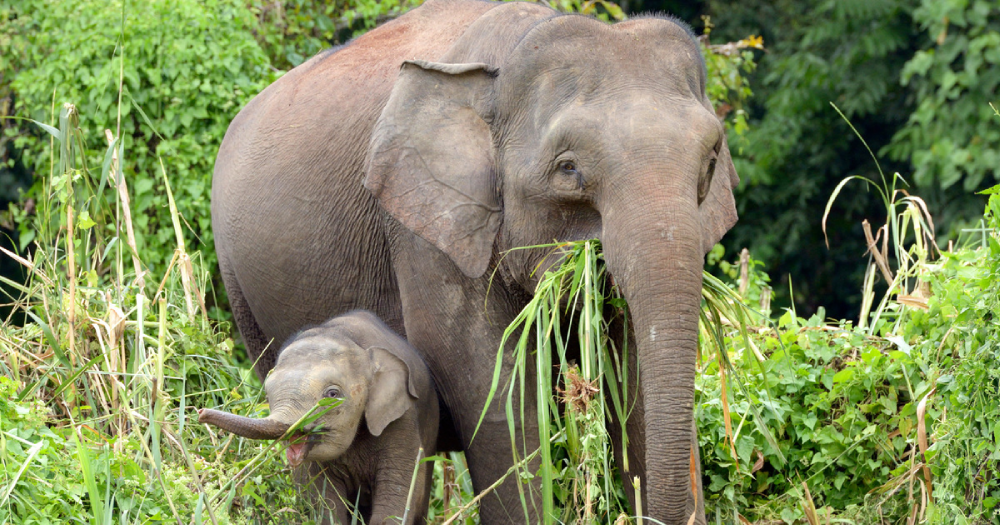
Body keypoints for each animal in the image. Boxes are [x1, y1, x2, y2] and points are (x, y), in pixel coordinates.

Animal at [199, 310, 438, 520]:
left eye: (332, 394)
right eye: (267, 392)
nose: (200, 413)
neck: (349, 337)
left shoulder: (402, 422)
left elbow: (397, 495)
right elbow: (322, 501)